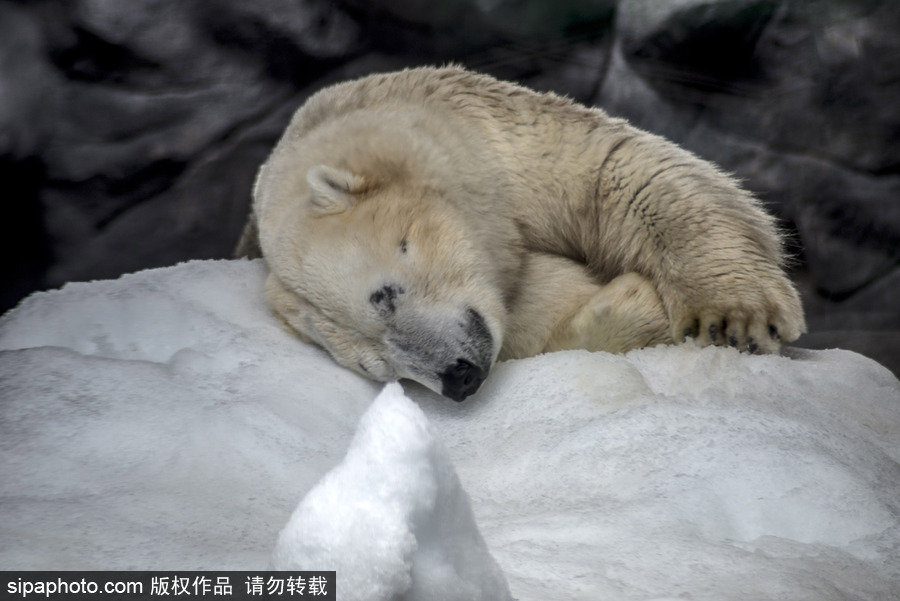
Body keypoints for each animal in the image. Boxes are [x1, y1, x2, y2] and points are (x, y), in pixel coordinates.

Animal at [236, 65, 804, 400]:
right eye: (375, 365)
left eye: (386, 296)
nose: (459, 378)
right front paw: (630, 307)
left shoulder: (505, 146)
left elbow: (624, 174)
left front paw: (734, 318)